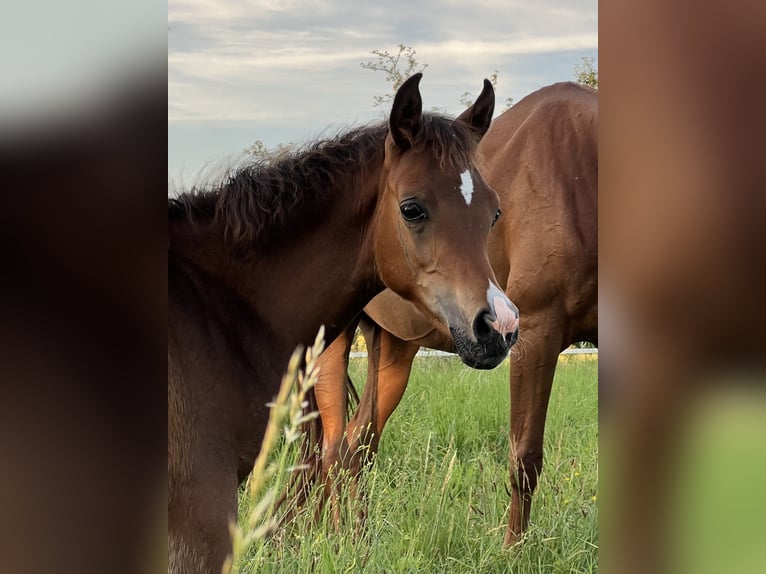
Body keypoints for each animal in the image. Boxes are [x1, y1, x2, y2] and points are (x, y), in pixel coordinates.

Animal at [308, 81, 596, 548]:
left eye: (495, 212)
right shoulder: (538, 335)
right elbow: (524, 459)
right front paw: (512, 553)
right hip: (334, 342)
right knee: (332, 450)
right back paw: (335, 540)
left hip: (393, 348)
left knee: (358, 445)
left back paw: (360, 540)